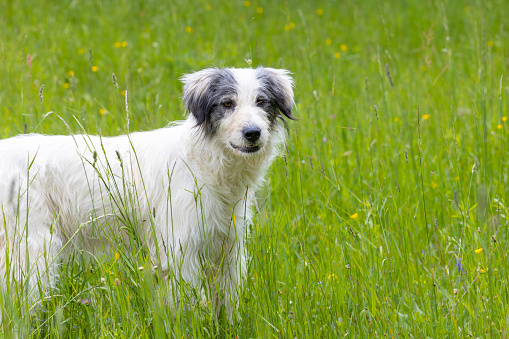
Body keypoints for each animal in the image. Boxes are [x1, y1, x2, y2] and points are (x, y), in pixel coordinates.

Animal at [0, 66, 294, 318]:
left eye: (262, 101)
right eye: (228, 103)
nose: (253, 133)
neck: (203, 161)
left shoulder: (227, 247)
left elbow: (227, 302)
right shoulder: (181, 249)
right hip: (31, 248)